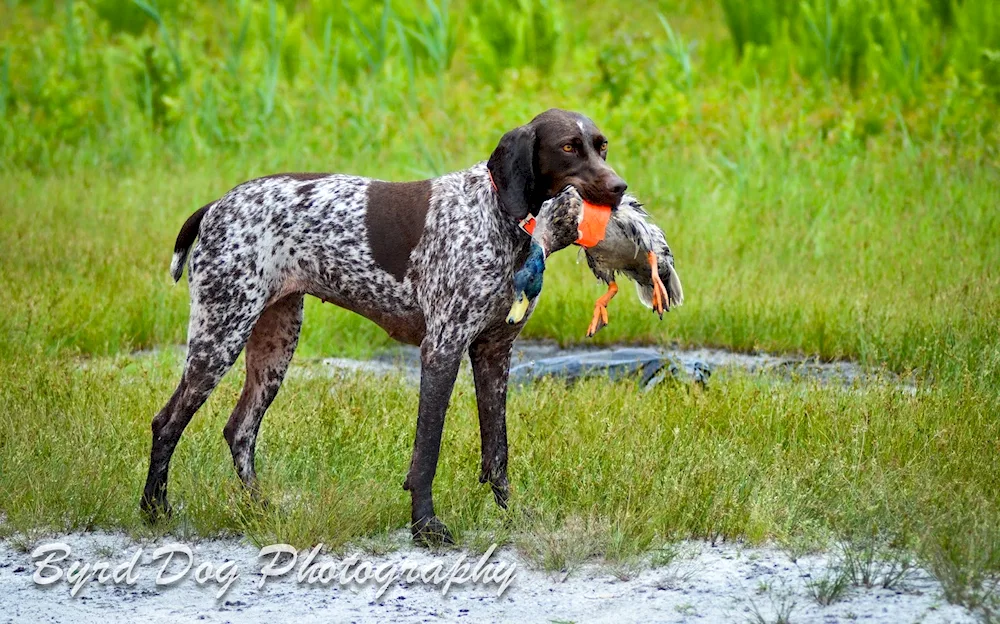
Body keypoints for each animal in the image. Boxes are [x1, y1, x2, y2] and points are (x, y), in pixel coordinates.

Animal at [143, 108, 624, 544]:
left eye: (602, 146)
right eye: (568, 147)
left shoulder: (494, 353)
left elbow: (497, 451)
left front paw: (509, 516)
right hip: (220, 335)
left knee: (240, 430)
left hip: (274, 344)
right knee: (167, 423)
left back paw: (260, 509)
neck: (497, 216)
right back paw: (154, 509)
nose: (620, 188)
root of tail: (216, 206)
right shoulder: (442, 350)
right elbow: (426, 452)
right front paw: (425, 526)